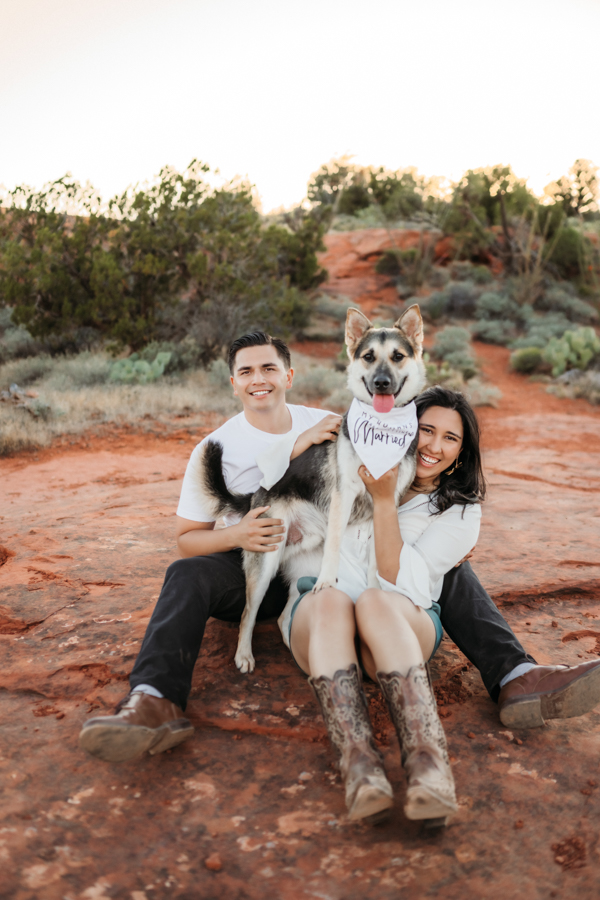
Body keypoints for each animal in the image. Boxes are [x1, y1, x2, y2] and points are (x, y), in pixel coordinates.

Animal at [197, 306, 426, 672]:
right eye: (369, 356)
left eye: (398, 356)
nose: (382, 383)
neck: (382, 432)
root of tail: (258, 493)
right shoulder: (344, 496)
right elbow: (334, 549)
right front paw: (328, 584)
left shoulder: (385, 503)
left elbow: (377, 557)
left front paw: (375, 588)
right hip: (266, 563)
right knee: (249, 613)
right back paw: (244, 655)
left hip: (301, 559)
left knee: (284, 615)